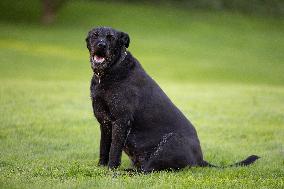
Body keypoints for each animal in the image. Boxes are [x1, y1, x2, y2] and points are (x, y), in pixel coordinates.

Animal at [85, 26, 260, 173]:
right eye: (95, 35)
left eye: (111, 37)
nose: (101, 45)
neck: (107, 74)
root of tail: (200, 160)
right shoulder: (105, 123)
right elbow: (104, 148)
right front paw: (100, 167)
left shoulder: (121, 121)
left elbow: (114, 151)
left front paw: (110, 170)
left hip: (169, 142)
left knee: (146, 171)